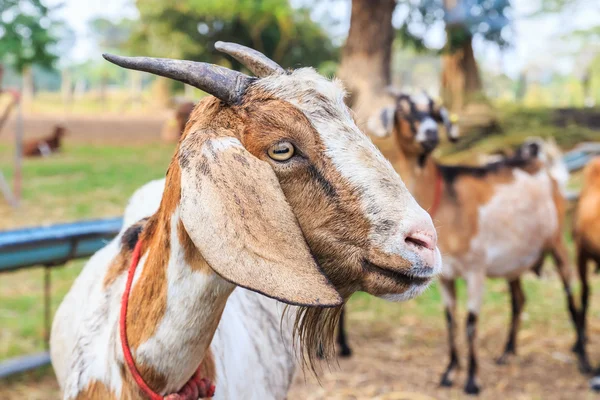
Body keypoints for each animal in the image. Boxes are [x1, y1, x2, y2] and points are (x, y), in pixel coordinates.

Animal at [342, 92, 580, 396]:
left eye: (436, 111)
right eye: (404, 110)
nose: (431, 133)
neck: (443, 200)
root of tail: (545, 169)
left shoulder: (475, 269)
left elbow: (470, 322)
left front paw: (472, 380)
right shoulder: (444, 277)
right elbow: (450, 319)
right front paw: (449, 372)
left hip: (558, 241)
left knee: (570, 297)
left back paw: (583, 357)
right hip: (515, 259)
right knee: (518, 299)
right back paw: (507, 352)